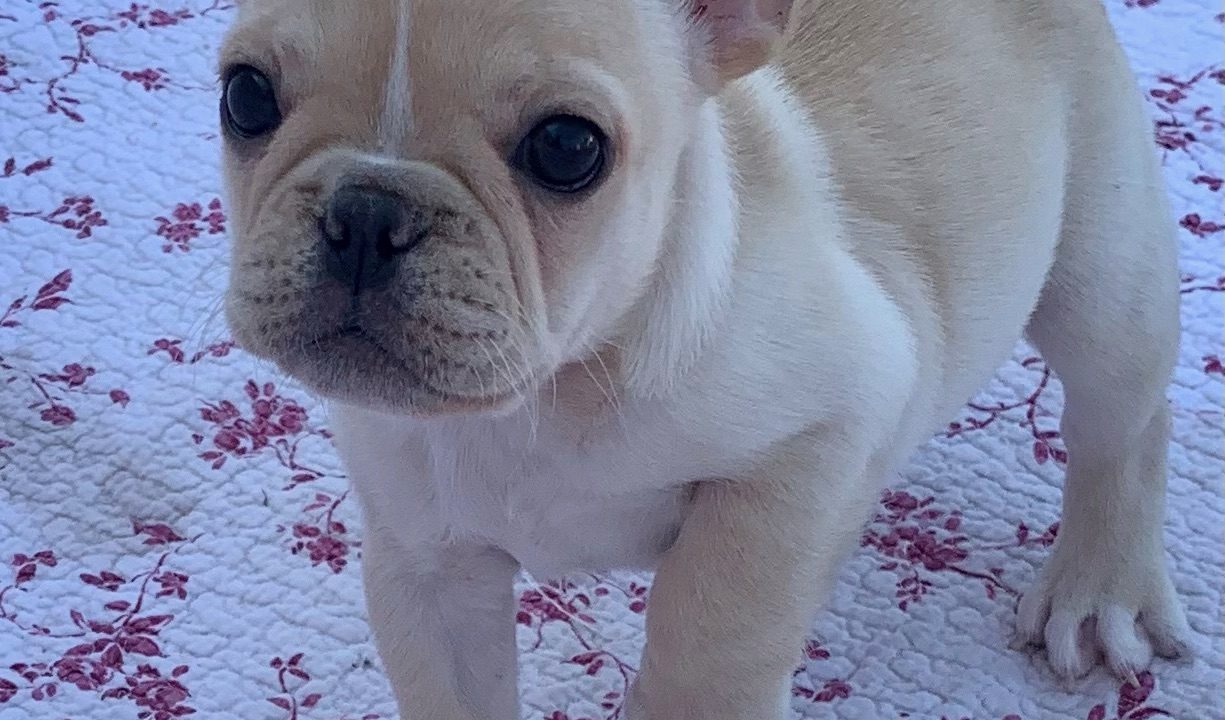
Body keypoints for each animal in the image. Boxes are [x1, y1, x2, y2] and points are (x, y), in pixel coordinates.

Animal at [217, 1, 1191, 717]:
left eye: (567, 148)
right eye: (244, 98)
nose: (365, 212)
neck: (550, 388)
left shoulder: (821, 431)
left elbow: (710, 627)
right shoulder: (426, 566)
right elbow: (452, 690)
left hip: (1099, 265)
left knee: (1121, 417)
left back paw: (1098, 589)